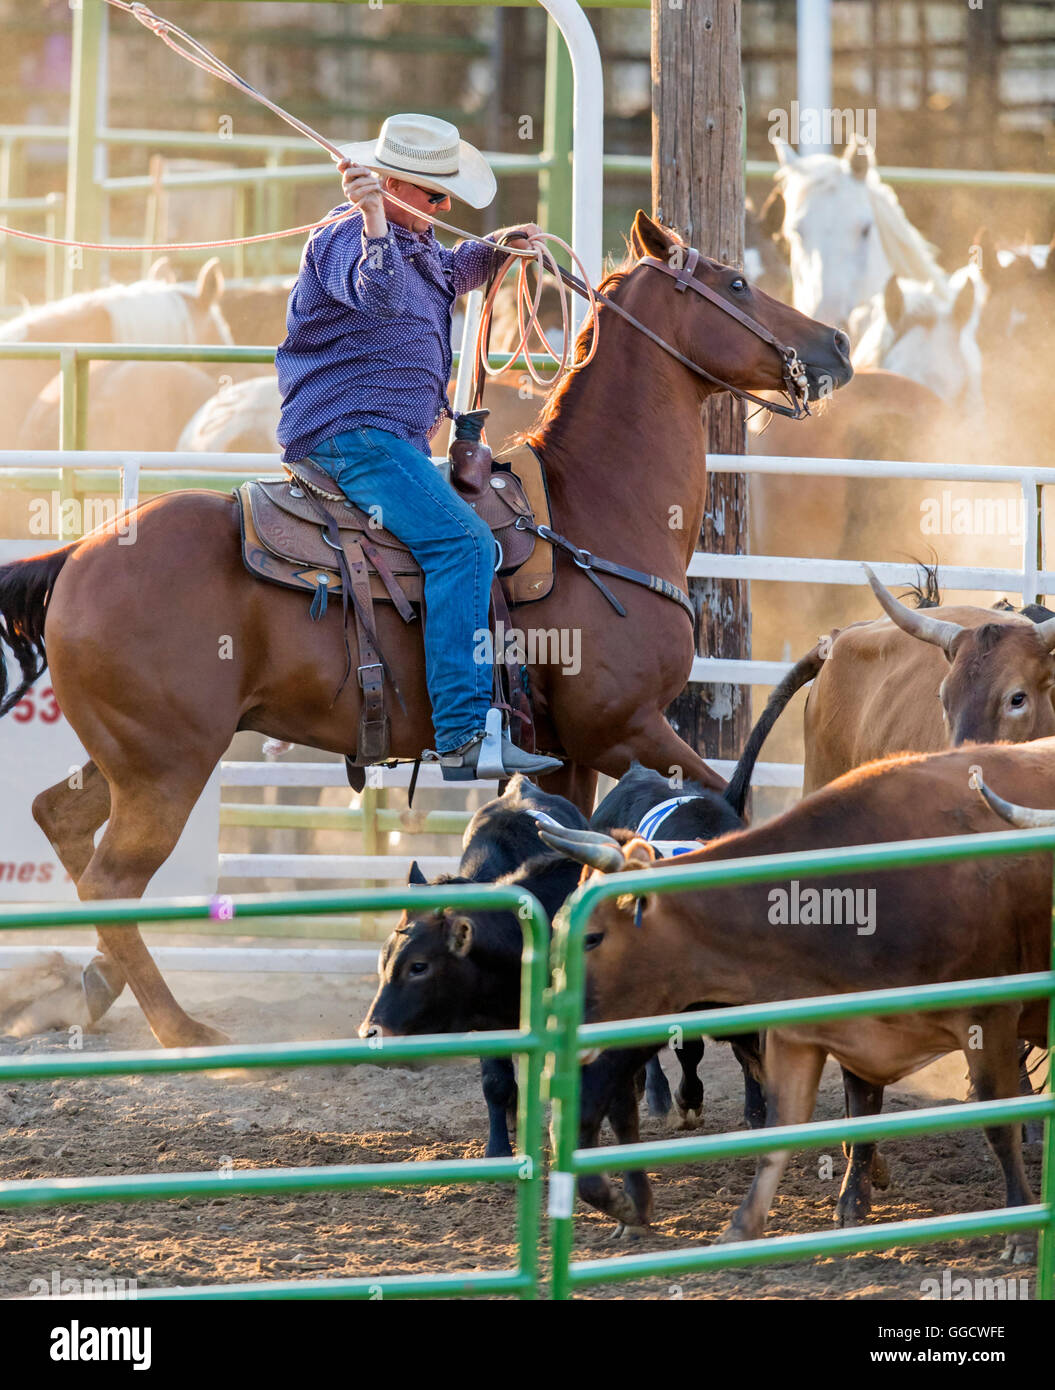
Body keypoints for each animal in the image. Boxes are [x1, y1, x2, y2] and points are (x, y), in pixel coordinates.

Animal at [0, 211, 856, 1045]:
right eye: (736, 282)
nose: (838, 345)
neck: (595, 512)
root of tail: (76, 554)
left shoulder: (567, 751)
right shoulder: (625, 726)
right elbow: (726, 809)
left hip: (133, 755)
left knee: (61, 823)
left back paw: (98, 986)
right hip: (168, 767)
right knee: (113, 877)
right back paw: (182, 1029)